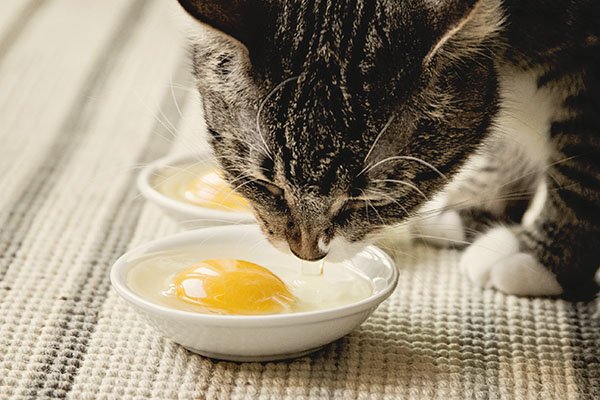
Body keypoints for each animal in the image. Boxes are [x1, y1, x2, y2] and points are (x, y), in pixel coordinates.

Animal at [176, 0, 596, 300]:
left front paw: (543, 260)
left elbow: (578, 173)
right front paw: (475, 205)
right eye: (268, 186)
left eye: (366, 201)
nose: (307, 255)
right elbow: (507, 143)